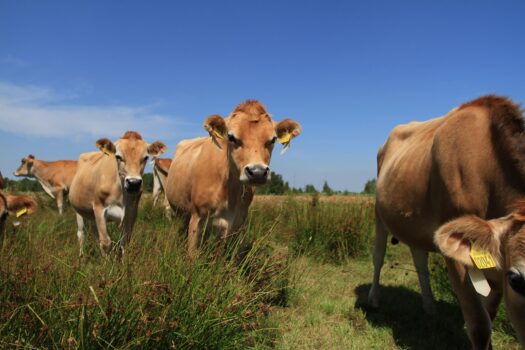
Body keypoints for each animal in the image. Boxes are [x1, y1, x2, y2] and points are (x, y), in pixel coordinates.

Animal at [166, 100, 300, 258]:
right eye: (231, 137)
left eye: (273, 139)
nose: (257, 172)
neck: (229, 190)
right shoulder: (197, 218)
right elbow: (193, 255)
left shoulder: (238, 223)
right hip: (179, 213)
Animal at [368, 94, 524, 348]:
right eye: (516, 280)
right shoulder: (457, 259)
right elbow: (479, 325)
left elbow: (489, 315)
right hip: (379, 215)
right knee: (378, 257)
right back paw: (373, 299)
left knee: (419, 260)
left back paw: (429, 306)